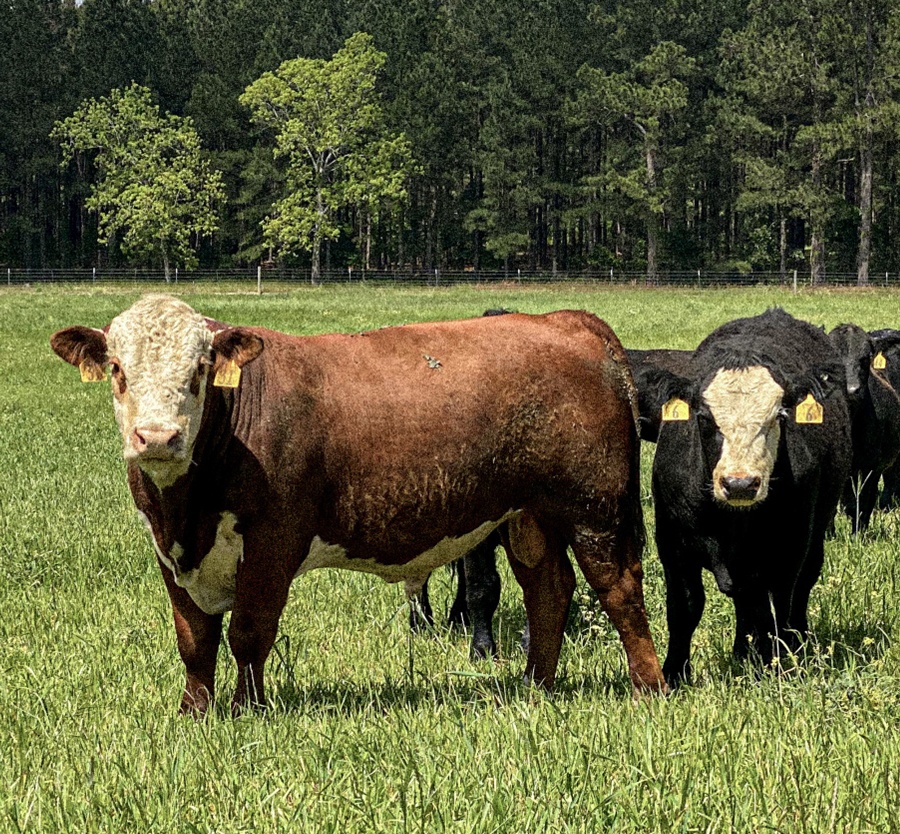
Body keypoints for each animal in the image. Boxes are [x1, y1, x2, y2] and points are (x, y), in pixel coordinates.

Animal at [51, 294, 666, 715]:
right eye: (117, 370)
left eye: (200, 369)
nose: (157, 437)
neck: (187, 509)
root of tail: (566, 320)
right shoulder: (170, 550)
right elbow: (194, 640)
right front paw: (194, 714)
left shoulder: (274, 540)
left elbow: (247, 632)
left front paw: (248, 710)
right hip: (527, 516)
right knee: (549, 590)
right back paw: (535, 686)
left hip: (594, 508)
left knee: (619, 588)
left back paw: (649, 688)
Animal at [647, 308, 851, 686]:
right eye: (703, 416)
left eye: (779, 415)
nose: (740, 484)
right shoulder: (671, 541)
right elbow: (685, 607)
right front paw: (673, 674)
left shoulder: (791, 543)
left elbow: (780, 602)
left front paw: (780, 664)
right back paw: (744, 651)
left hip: (816, 533)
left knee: (796, 591)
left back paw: (793, 646)